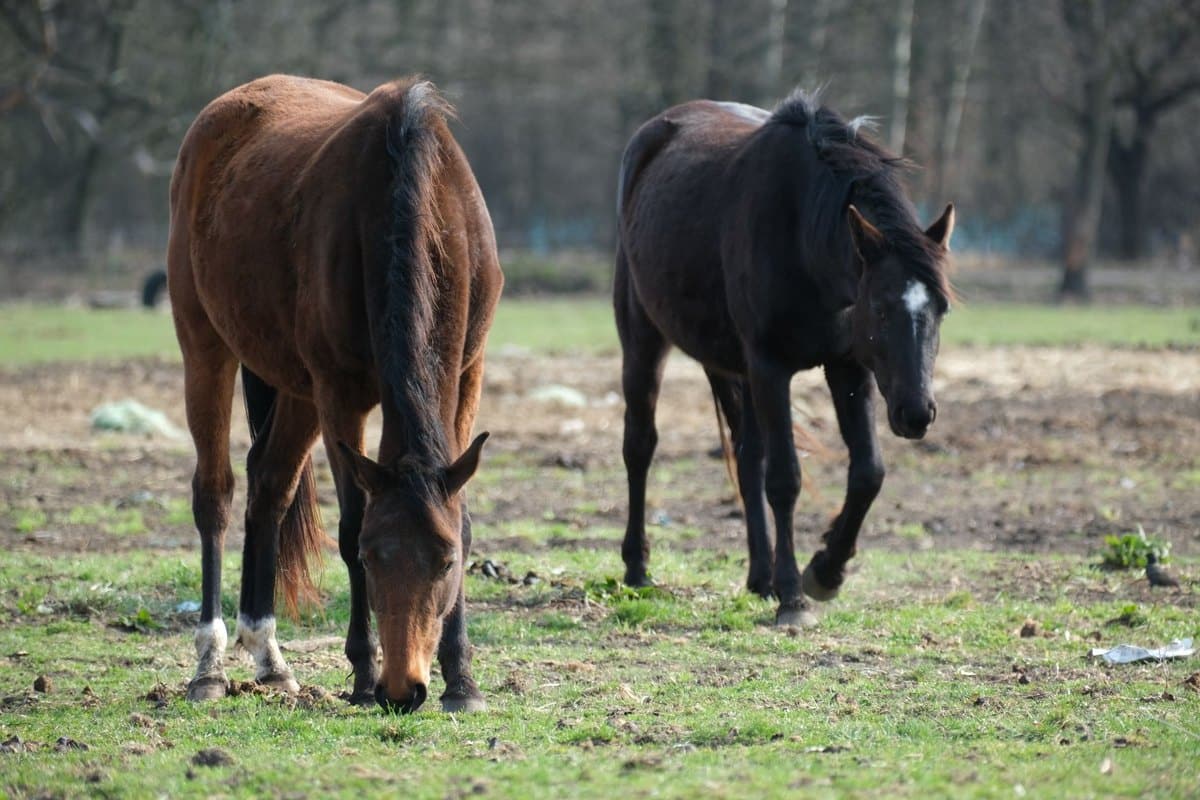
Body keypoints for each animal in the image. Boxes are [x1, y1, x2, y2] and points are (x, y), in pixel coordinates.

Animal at [167, 75, 503, 713]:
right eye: (373, 558)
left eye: (446, 560)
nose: (404, 689)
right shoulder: (339, 393)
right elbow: (347, 526)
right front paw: (364, 675)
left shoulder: (466, 373)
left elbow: (465, 514)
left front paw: (462, 679)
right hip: (207, 346)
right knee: (215, 494)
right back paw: (209, 666)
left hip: (296, 390)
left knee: (270, 485)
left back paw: (270, 658)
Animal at [614, 90, 954, 627]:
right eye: (880, 307)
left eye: (941, 307)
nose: (917, 413)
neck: (801, 235)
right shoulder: (770, 367)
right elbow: (785, 478)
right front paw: (794, 596)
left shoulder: (848, 368)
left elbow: (868, 472)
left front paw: (826, 571)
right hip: (645, 340)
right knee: (640, 445)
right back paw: (637, 568)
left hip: (736, 369)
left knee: (747, 456)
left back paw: (760, 577)